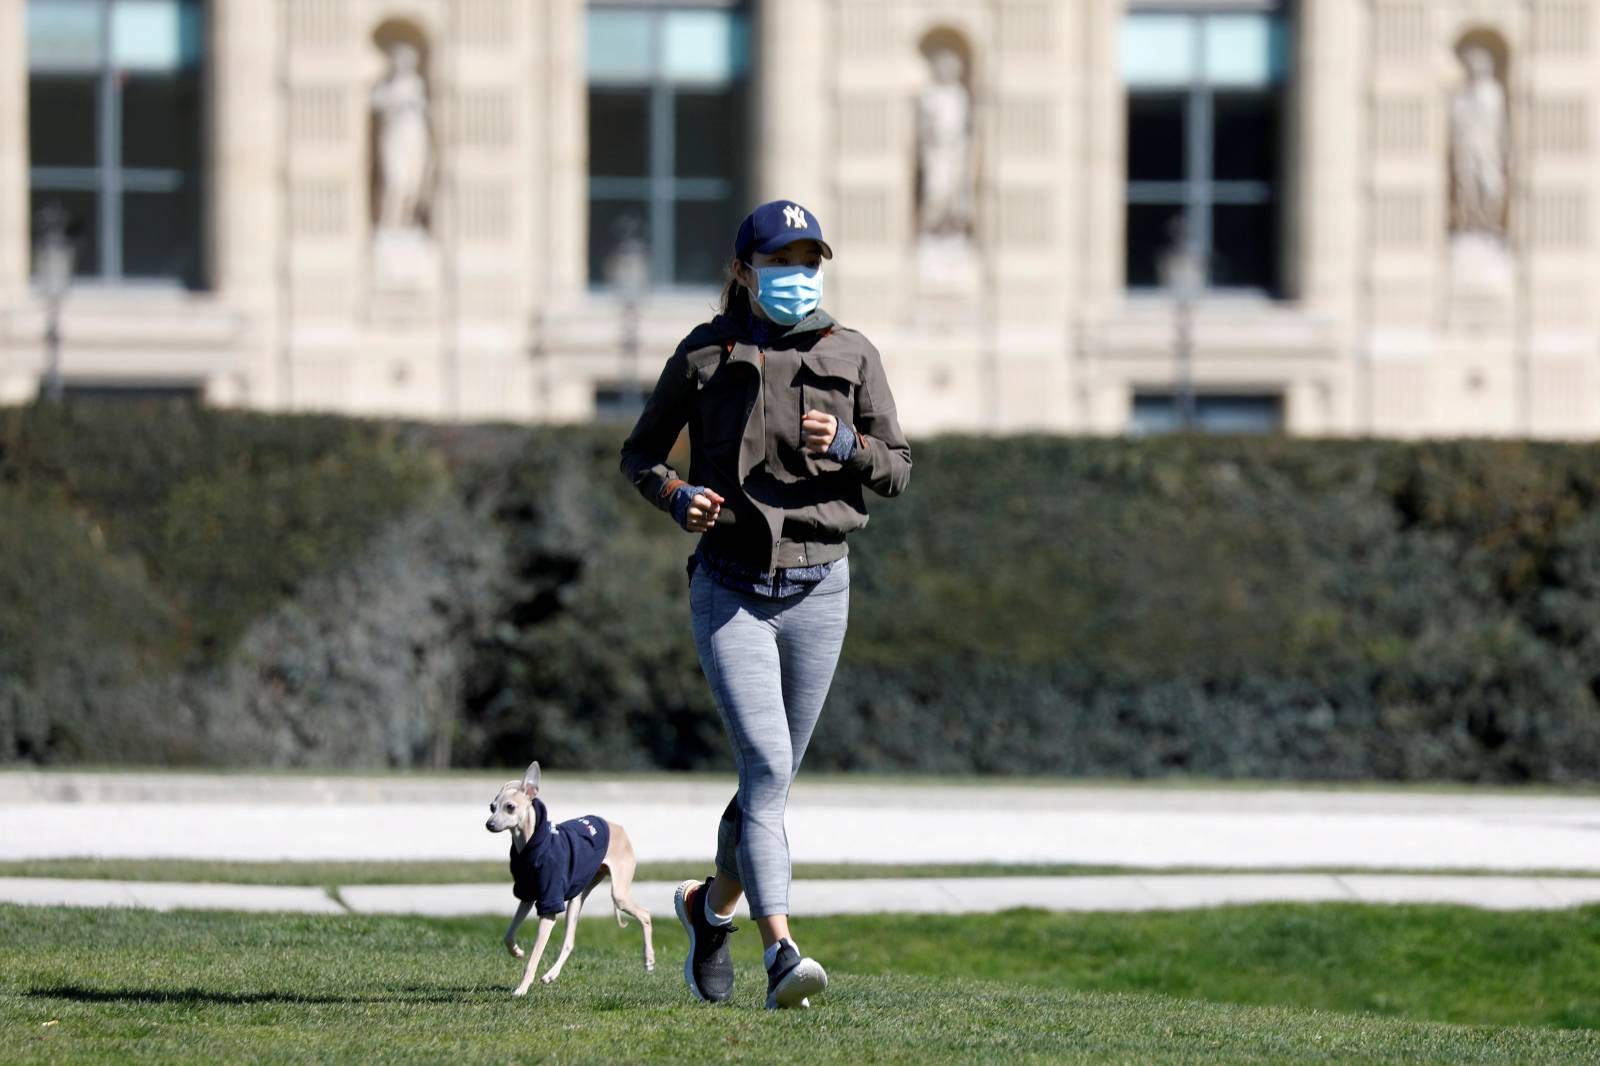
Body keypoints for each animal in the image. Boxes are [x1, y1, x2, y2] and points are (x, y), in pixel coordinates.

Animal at [489, 755, 659, 985]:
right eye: (492, 807)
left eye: (510, 807)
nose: (489, 824)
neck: (531, 843)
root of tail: (619, 828)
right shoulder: (528, 894)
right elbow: (508, 935)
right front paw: (517, 951)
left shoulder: (549, 905)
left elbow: (534, 958)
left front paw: (521, 988)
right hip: (579, 895)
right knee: (569, 942)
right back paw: (551, 974)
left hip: (619, 892)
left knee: (645, 914)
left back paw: (648, 960)